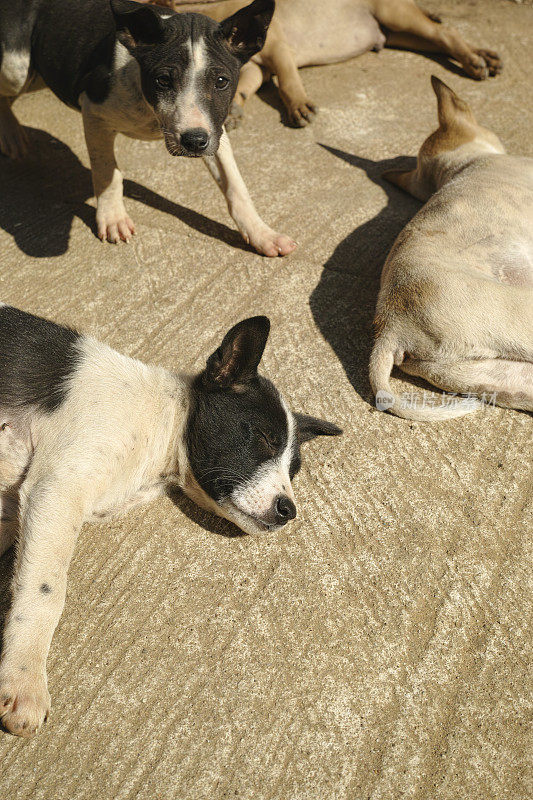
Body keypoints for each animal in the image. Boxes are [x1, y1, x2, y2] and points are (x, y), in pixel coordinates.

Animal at [0, 0, 296, 255]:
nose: (193, 142)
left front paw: (261, 234)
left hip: (34, 74)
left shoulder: (214, 129)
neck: (149, 109)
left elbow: (236, 185)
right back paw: (11, 134)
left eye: (221, 81)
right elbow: (107, 172)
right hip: (16, 67)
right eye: (163, 80)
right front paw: (113, 217)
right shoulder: (93, 111)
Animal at [0, 306, 340, 736]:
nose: (288, 510)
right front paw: (24, 679)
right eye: (264, 438)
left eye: (293, 471)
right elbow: (45, 593)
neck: (160, 426)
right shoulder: (56, 490)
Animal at [149, 0, 498, 126]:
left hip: (394, 13)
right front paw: (234, 108)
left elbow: (289, 81)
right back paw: (485, 55)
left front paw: (300, 106)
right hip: (397, 33)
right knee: (437, 38)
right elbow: (245, 84)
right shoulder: (255, 66)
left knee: (446, 32)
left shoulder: (278, 50)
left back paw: (475, 61)